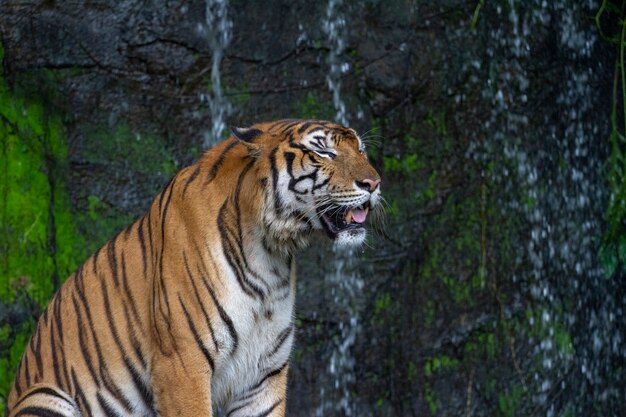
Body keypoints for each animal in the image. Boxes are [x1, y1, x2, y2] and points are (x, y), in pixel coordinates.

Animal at [6, 118, 380, 416]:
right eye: (324, 152)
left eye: (361, 150)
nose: (374, 184)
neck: (270, 254)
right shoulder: (181, 362)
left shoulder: (264, 374)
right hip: (46, 395)